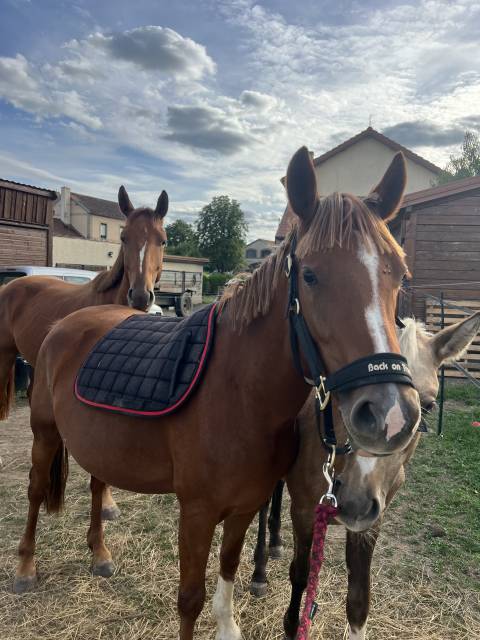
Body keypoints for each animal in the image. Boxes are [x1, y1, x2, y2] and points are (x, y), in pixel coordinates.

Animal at [249, 311, 480, 639]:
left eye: (428, 406)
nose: (355, 501)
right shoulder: (305, 512)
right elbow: (301, 576)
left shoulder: (371, 523)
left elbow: (359, 599)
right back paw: (259, 570)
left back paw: (276, 542)